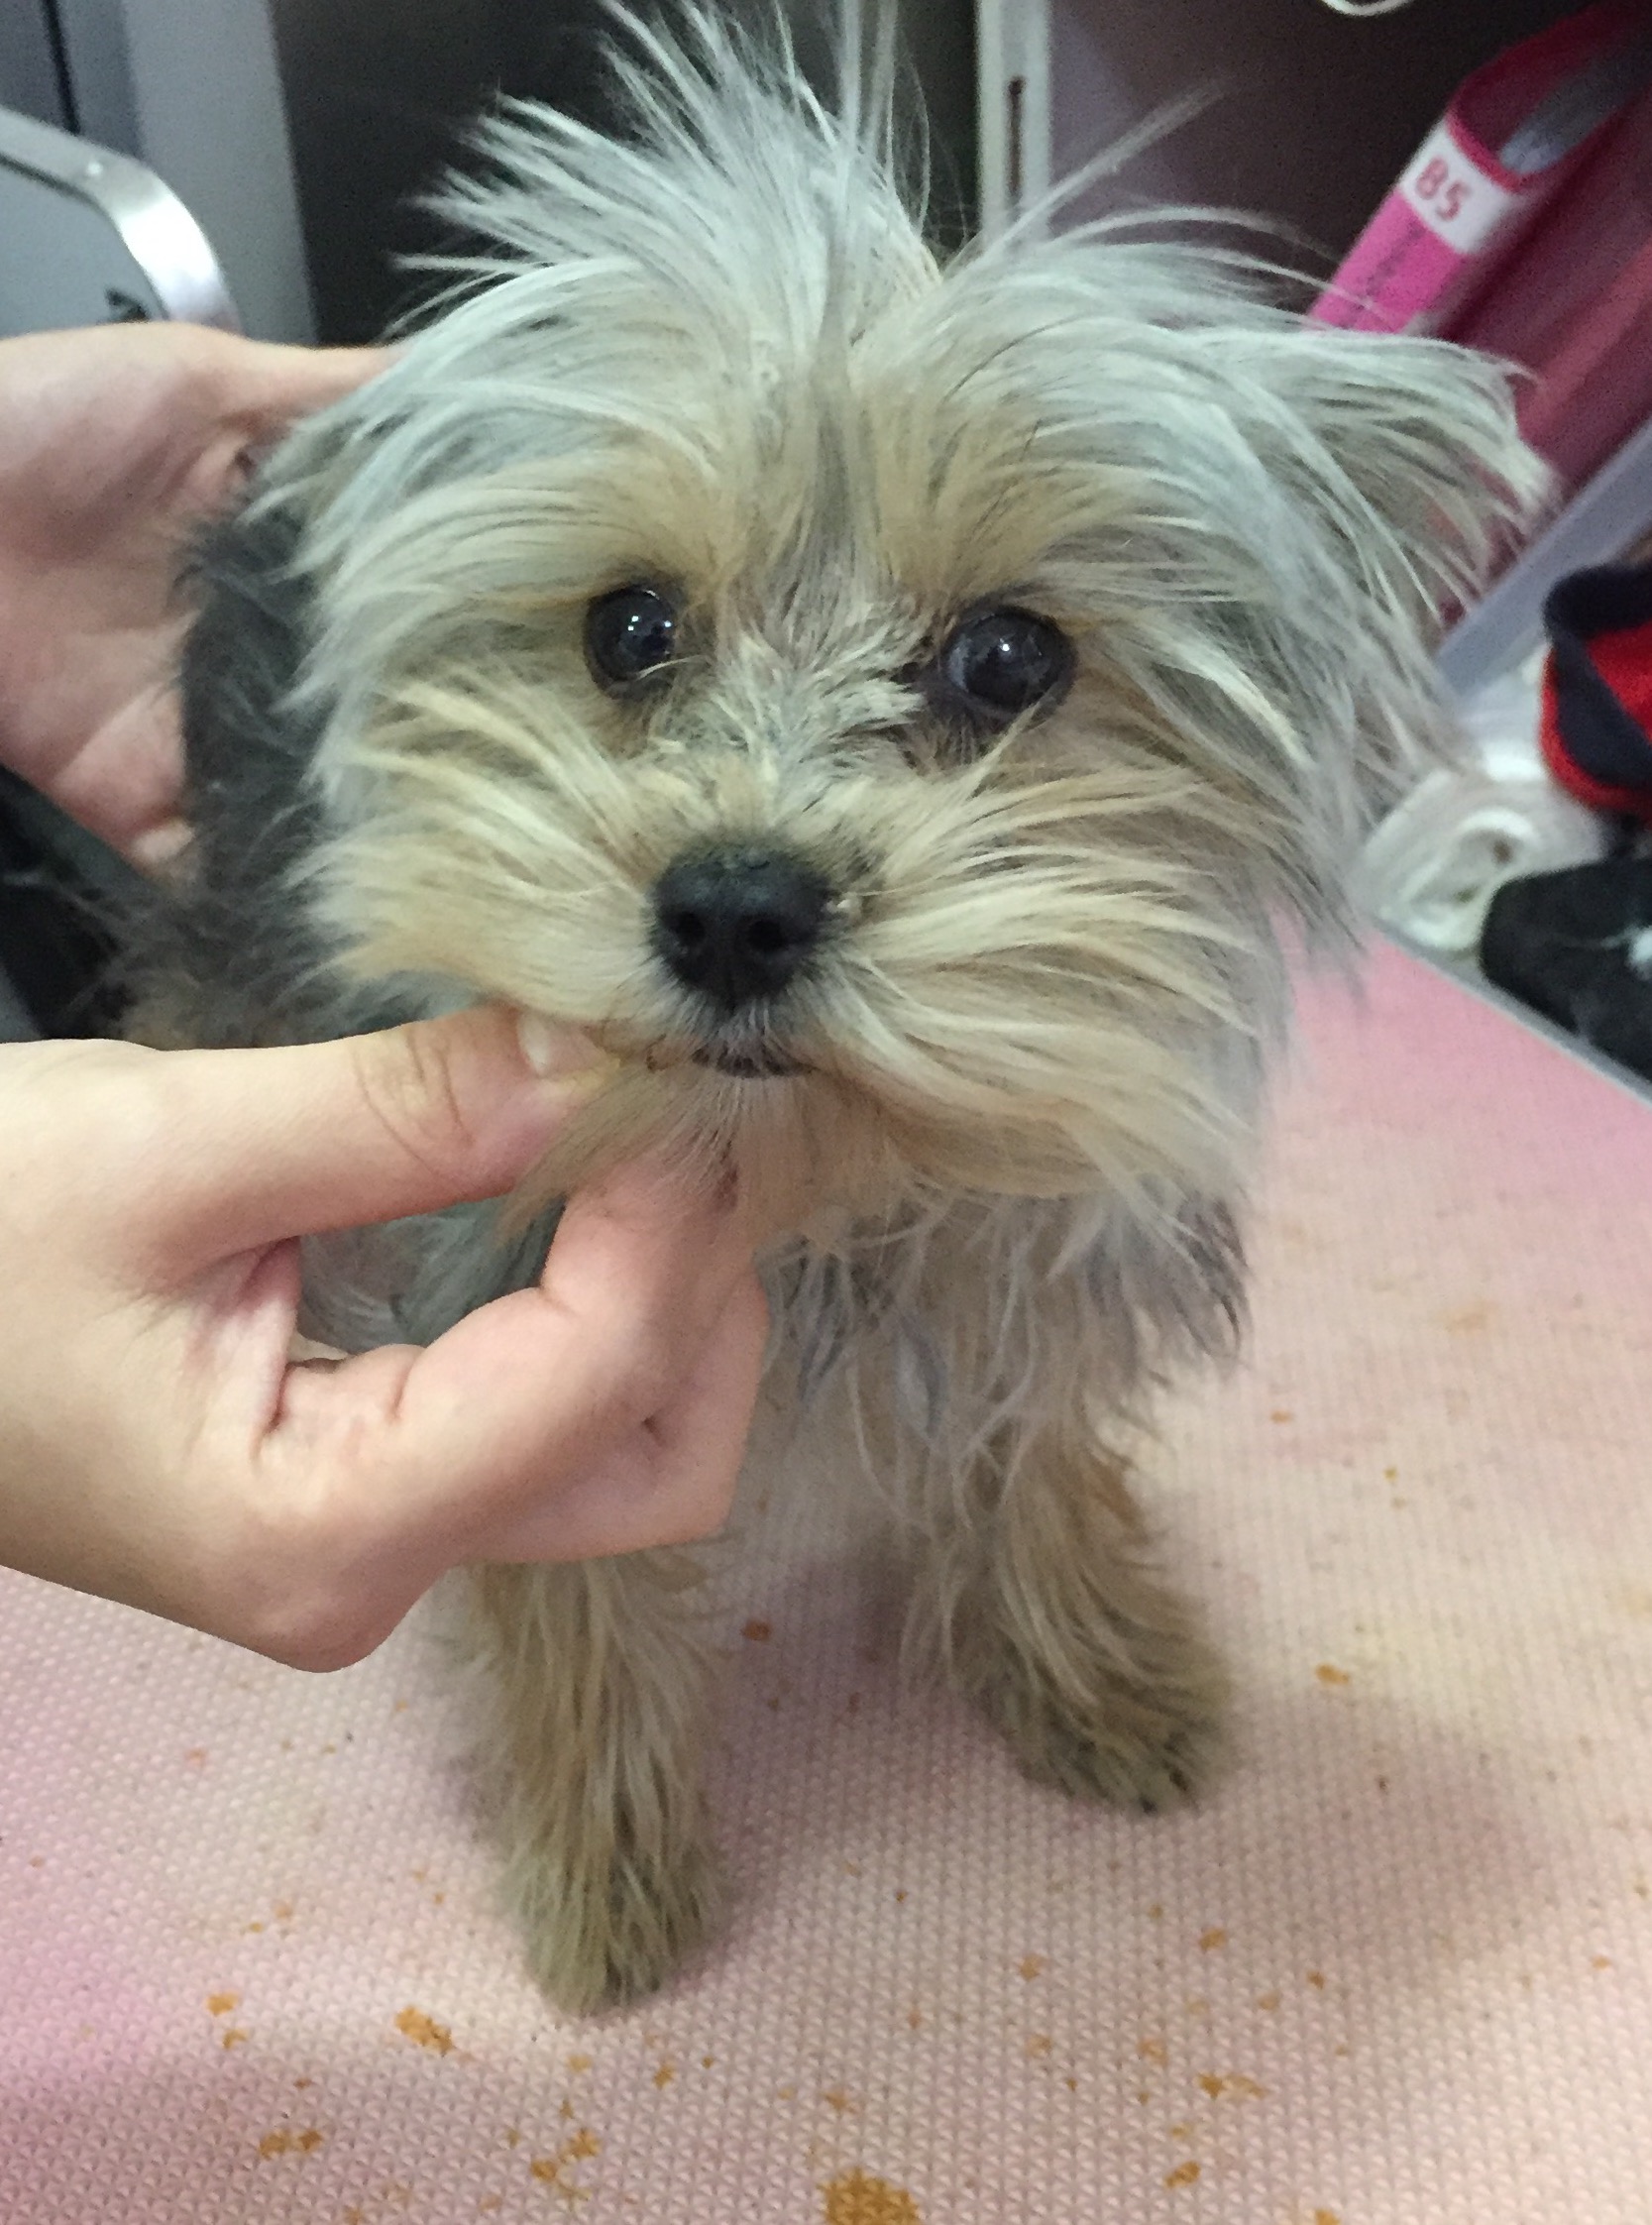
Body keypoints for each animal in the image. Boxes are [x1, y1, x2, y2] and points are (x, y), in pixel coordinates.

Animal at [133, 6, 1542, 2013]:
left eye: (1007, 659)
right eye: (628, 629)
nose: (732, 905)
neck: (808, 1178)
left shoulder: (1030, 1244)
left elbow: (1029, 1450)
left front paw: (1091, 1668)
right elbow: (568, 1603)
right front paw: (608, 1878)